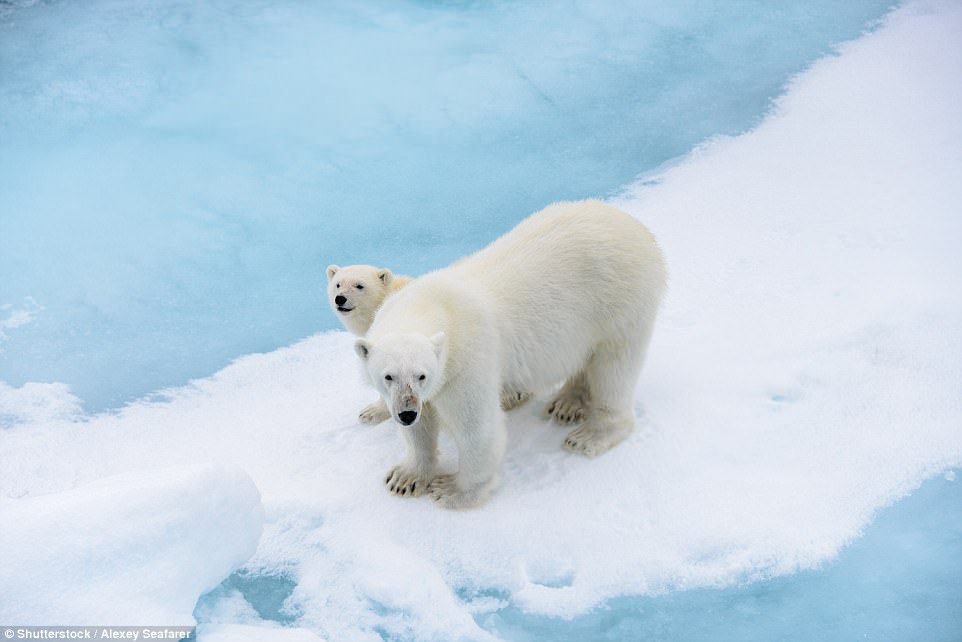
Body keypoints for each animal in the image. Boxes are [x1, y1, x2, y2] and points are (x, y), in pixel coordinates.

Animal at [356, 198, 664, 508]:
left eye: (422, 375)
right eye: (388, 376)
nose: (407, 413)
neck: (432, 304)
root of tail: (638, 228)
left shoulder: (467, 360)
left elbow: (476, 426)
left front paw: (453, 490)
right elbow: (419, 430)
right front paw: (405, 478)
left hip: (619, 300)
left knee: (615, 367)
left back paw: (589, 435)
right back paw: (566, 404)